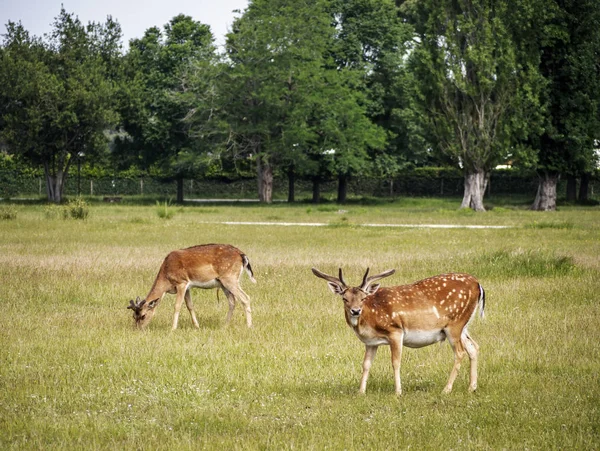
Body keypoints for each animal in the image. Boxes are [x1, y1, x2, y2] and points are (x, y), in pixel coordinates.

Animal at [312, 268, 486, 396]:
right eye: (344, 298)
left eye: (363, 298)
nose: (355, 311)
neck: (369, 320)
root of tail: (478, 284)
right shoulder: (371, 342)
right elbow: (366, 364)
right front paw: (361, 392)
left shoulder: (395, 331)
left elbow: (395, 362)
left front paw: (398, 392)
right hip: (463, 326)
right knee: (474, 347)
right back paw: (472, 387)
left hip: (454, 324)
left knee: (460, 352)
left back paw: (446, 389)